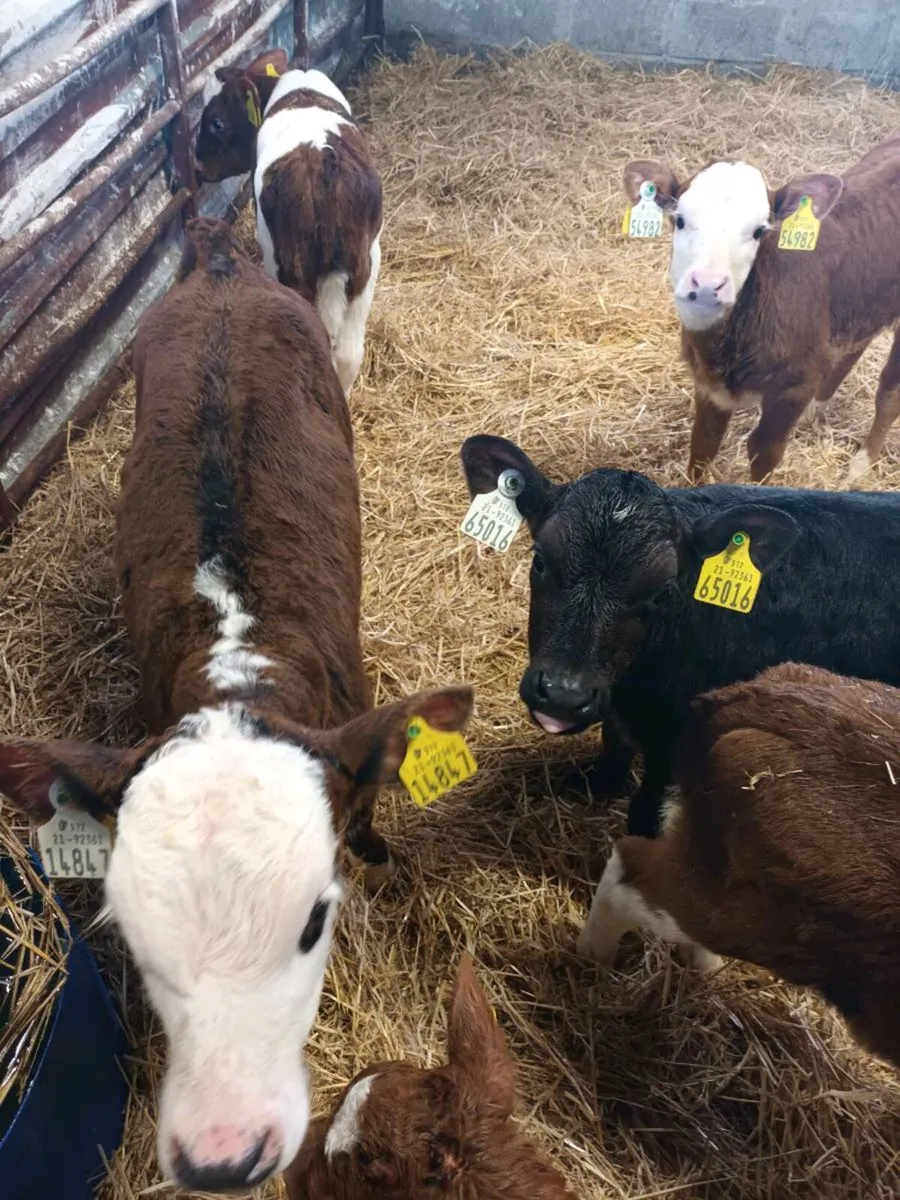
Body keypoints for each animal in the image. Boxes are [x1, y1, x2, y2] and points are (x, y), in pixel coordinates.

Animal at [194, 48, 383, 396]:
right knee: (349, 353)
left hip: (289, 266)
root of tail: (324, 162)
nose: (198, 168)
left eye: (216, 123)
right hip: (365, 266)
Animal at [460, 433, 900, 839]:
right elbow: (613, 744)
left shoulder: (675, 738)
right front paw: (596, 782)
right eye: (539, 561)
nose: (564, 695)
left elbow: (646, 808)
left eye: (661, 591)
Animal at [623, 137, 900, 483]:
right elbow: (703, 444)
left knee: (889, 391)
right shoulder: (708, 384)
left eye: (759, 231)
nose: (708, 284)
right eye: (680, 220)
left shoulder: (794, 386)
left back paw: (861, 464)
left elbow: (764, 451)